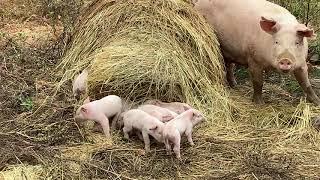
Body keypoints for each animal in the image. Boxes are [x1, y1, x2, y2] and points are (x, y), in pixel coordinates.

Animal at [192, 0, 320, 105]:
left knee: (229, 67)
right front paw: (260, 103)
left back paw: (235, 86)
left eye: (297, 43)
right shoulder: (253, 59)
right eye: (276, 42)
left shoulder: (302, 63)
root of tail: (198, 3)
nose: (285, 59)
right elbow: (258, 82)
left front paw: (316, 101)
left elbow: (306, 83)